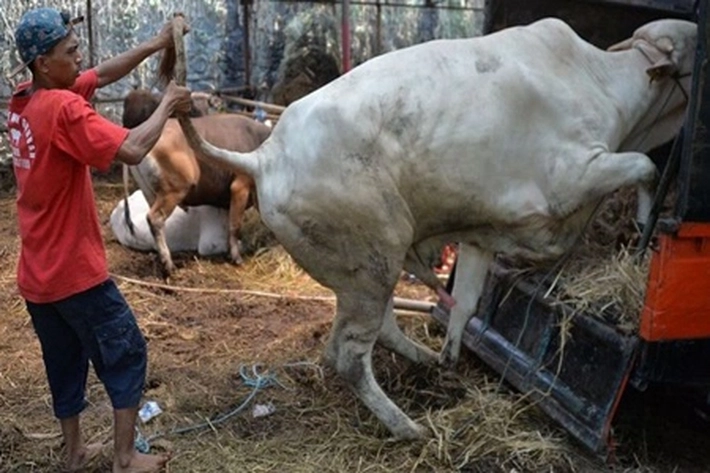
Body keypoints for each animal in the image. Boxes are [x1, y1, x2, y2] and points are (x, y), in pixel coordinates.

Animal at [123, 88, 272, 272]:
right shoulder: (240, 186)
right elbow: (235, 225)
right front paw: (236, 257)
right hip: (174, 190)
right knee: (155, 219)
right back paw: (168, 264)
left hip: (150, 193)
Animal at [175, 18, 700, 438]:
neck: (601, 81)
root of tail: (265, 156)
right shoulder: (575, 174)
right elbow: (645, 167)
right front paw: (644, 223)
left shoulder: (483, 234)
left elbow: (465, 305)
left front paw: (449, 357)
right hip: (373, 260)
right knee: (347, 355)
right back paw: (408, 427)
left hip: (371, 267)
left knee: (382, 329)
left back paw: (425, 363)